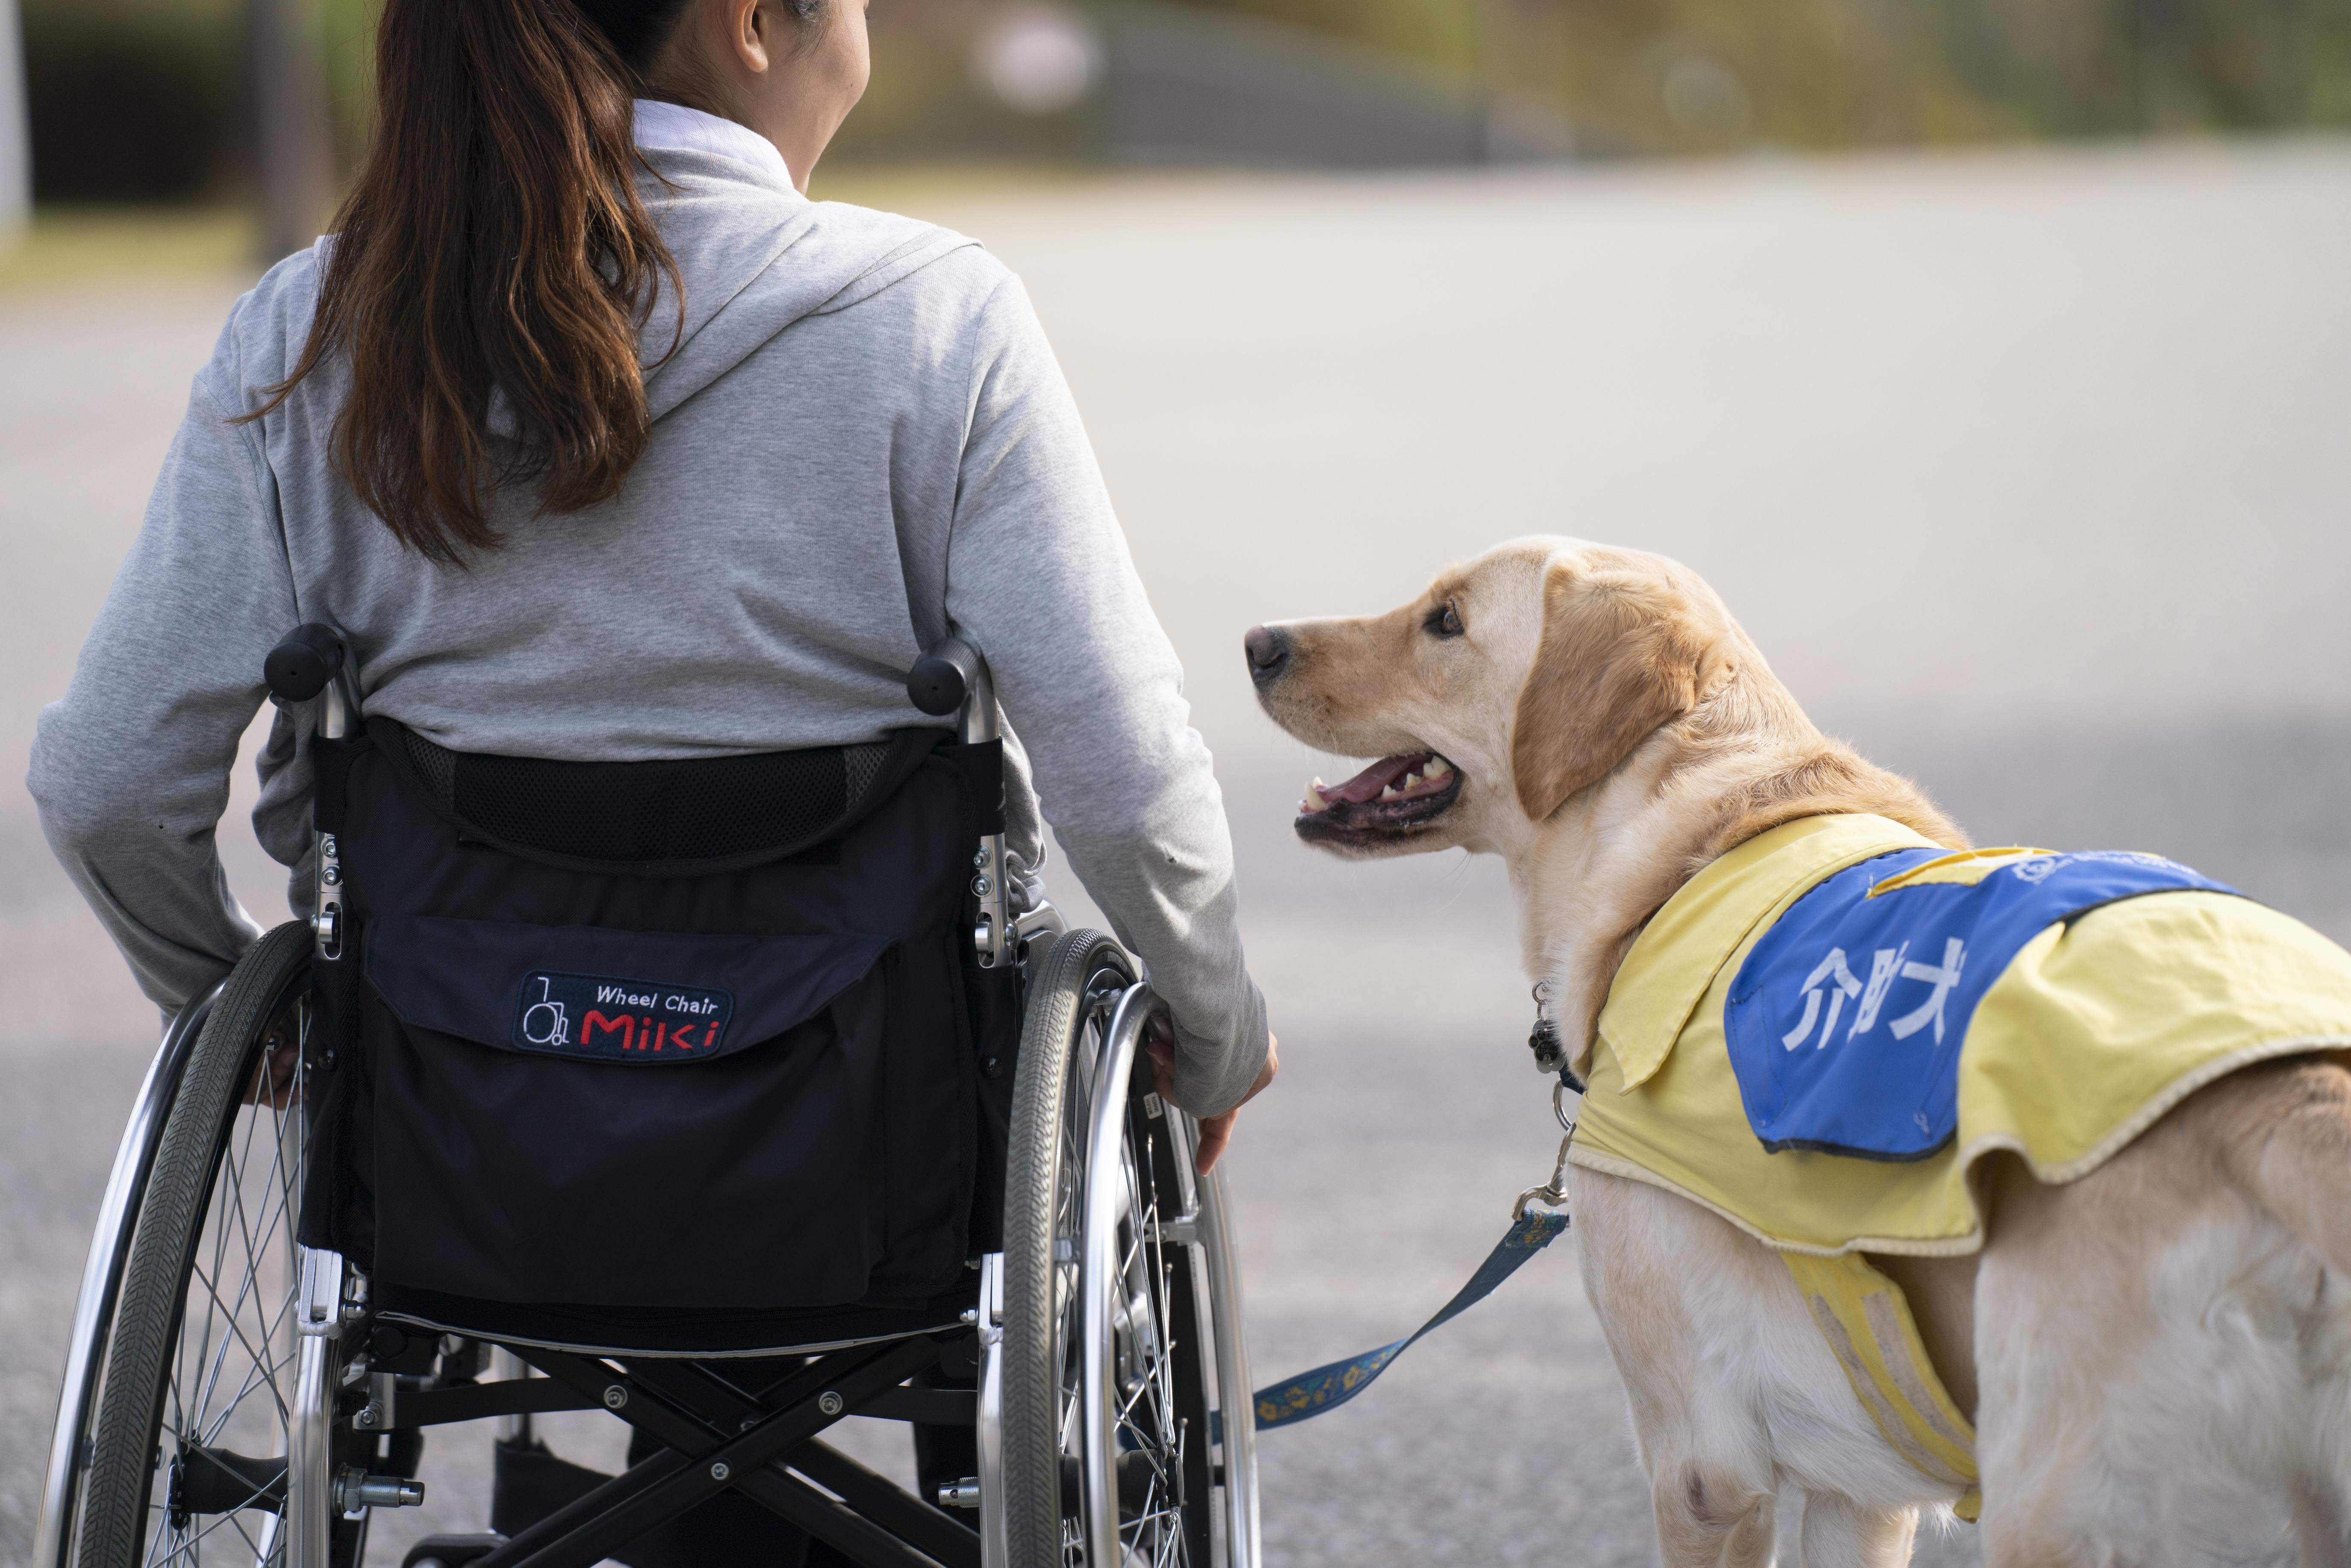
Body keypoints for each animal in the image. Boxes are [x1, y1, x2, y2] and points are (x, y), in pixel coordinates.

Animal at [1260, 541, 2351, 1568]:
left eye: (1443, 620)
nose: (1256, 641)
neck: (1691, 827)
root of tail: (2277, 1100)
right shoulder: (1856, 1493)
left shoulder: (1701, 1465)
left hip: (2056, 1498)